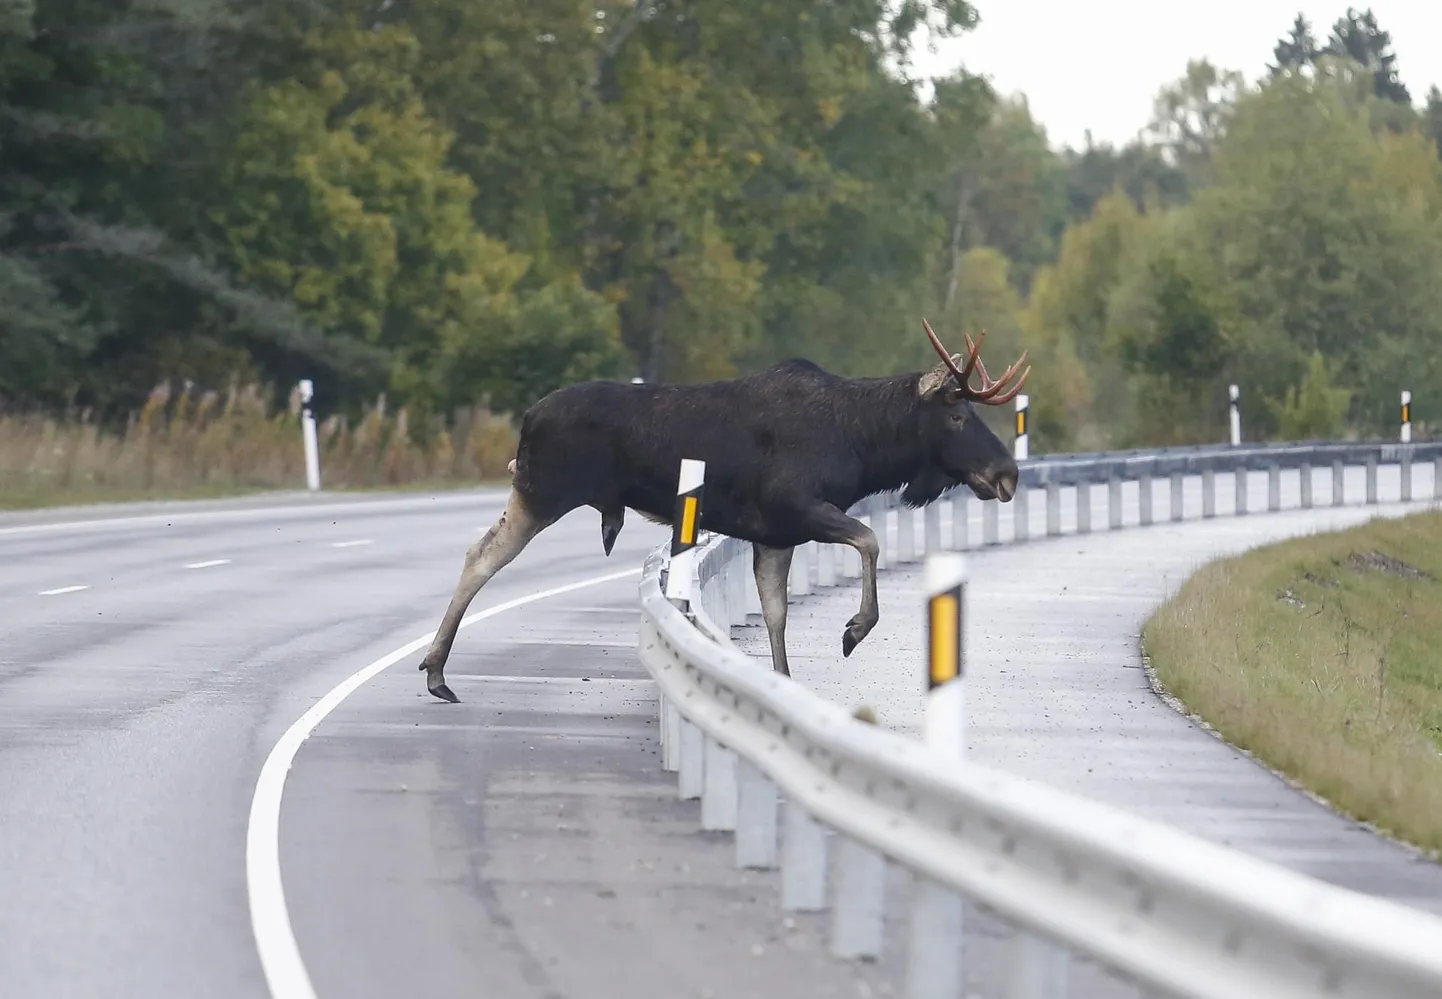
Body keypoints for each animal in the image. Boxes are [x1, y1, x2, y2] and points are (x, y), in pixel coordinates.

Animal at [415, 320, 1026, 700]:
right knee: (481, 557)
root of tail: (525, 419)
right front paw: (854, 629)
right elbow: (869, 540)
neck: (863, 444)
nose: (1007, 474)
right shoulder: (797, 508)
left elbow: (776, 614)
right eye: (956, 417)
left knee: (478, 551)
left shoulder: (775, 535)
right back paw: (436, 669)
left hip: (534, 493)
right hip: (543, 492)